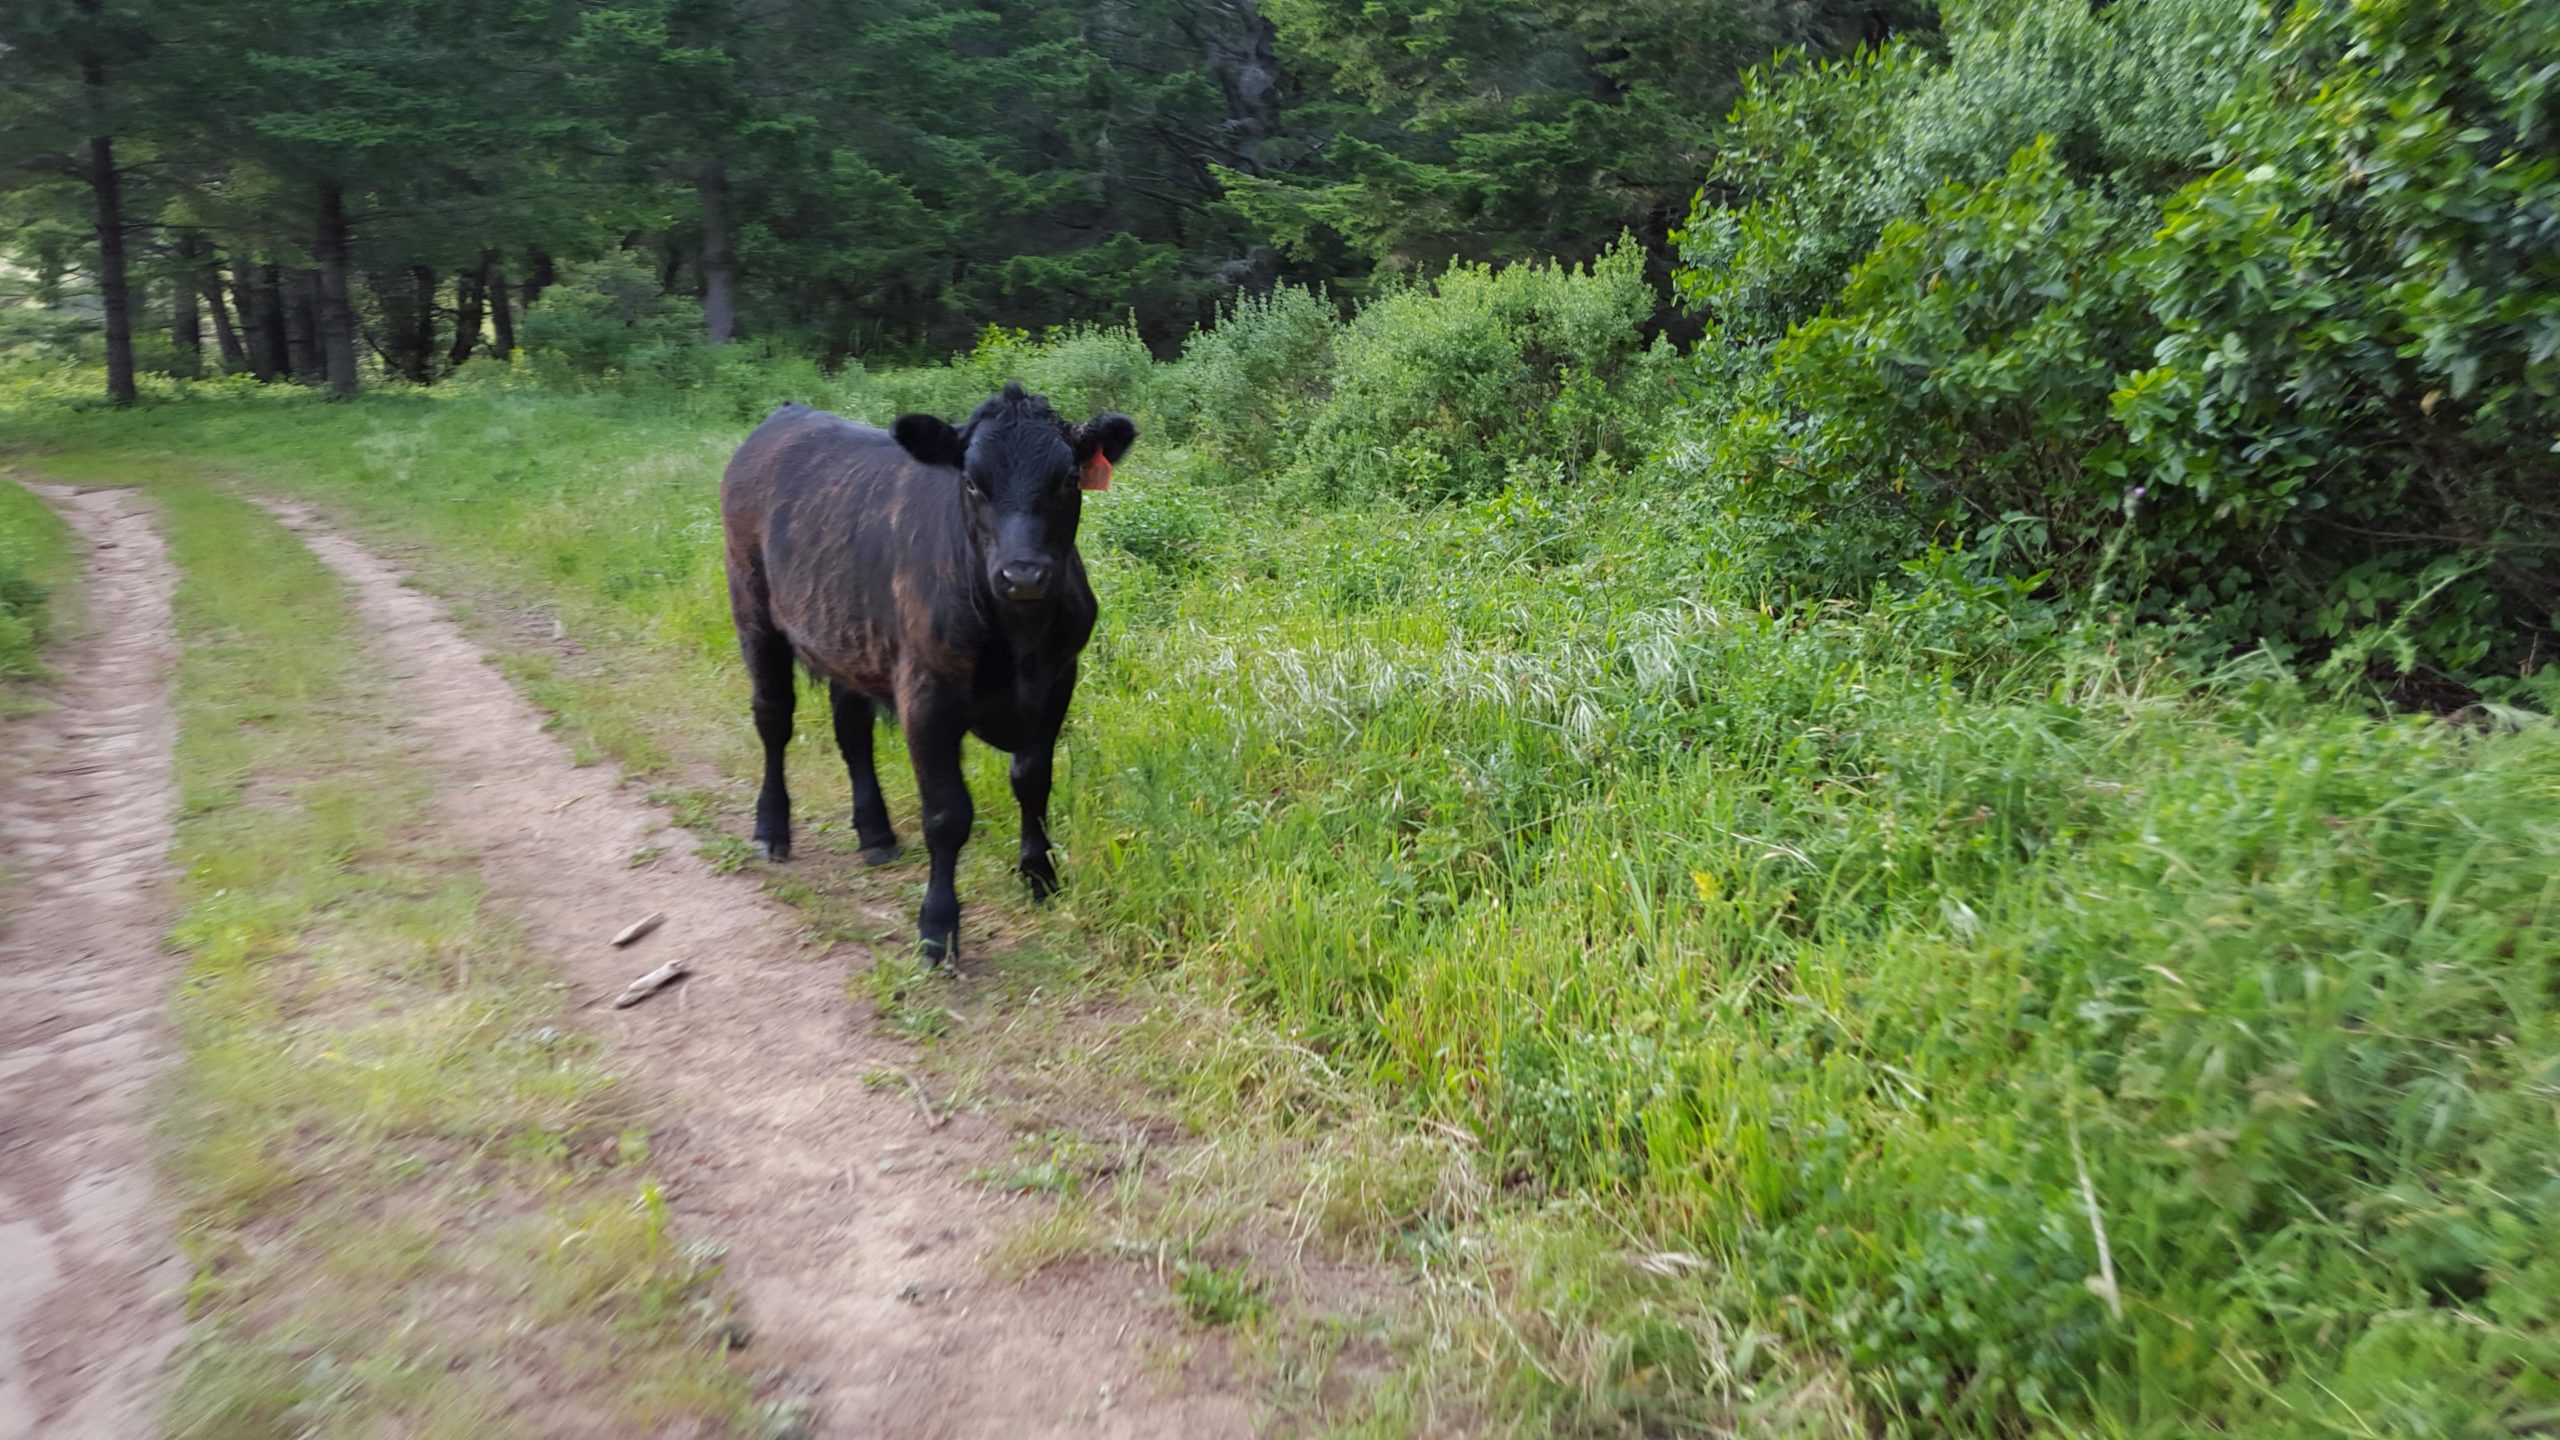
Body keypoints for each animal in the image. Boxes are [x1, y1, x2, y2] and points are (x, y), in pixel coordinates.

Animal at [719, 384, 1136, 963]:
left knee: (852, 732)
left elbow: (1033, 782)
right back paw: (770, 828)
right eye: (972, 482)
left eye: (1069, 479)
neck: (1020, 640)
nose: (1024, 575)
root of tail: (786, 413)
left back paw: (875, 835)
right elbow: (946, 813)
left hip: (846, 636)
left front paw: (1040, 876)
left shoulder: (1057, 681)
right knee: (773, 719)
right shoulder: (927, 693)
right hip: (752, 608)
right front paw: (938, 928)